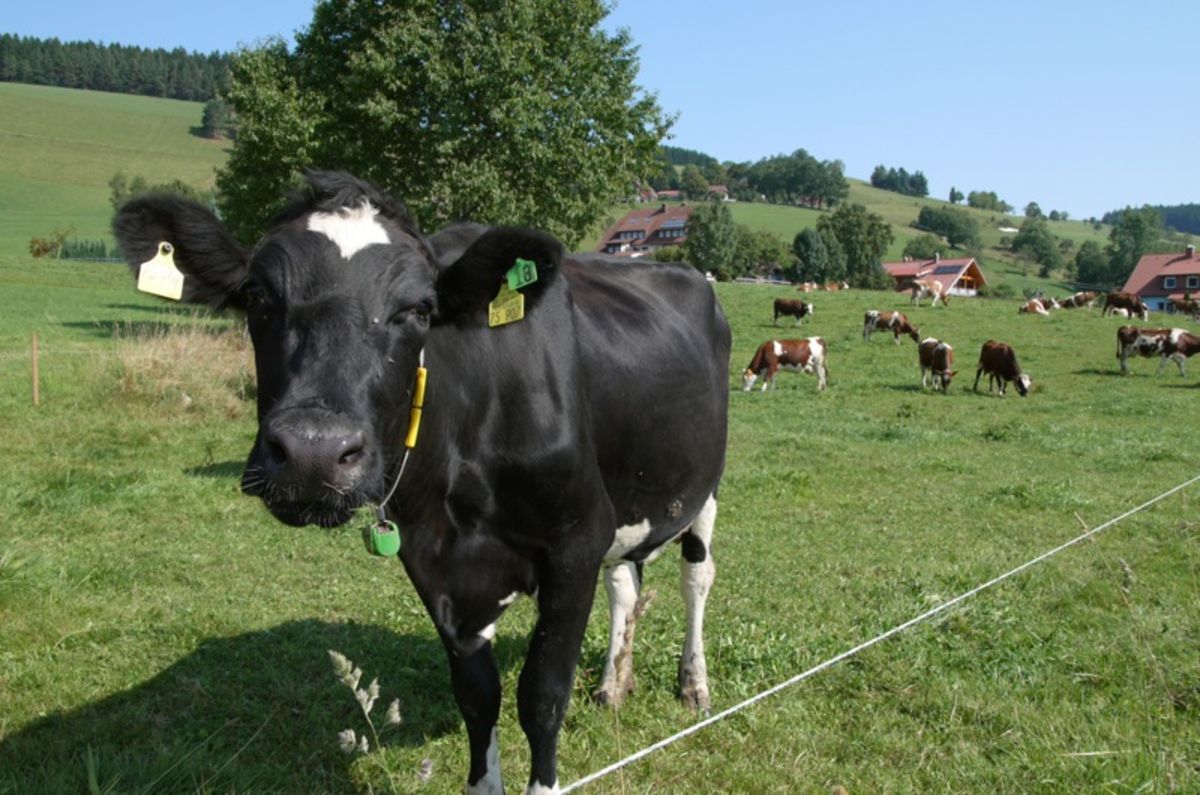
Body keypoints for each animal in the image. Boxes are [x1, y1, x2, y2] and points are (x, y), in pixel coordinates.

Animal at [113, 171, 730, 795]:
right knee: (624, 582)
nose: (314, 452)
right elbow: (478, 698)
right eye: (258, 296)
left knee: (696, 578)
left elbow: (542, 698)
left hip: (705, 488)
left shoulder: (576, 539)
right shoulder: (433, 558)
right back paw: (613, 685)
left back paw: (694, 684)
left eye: (418, 309)